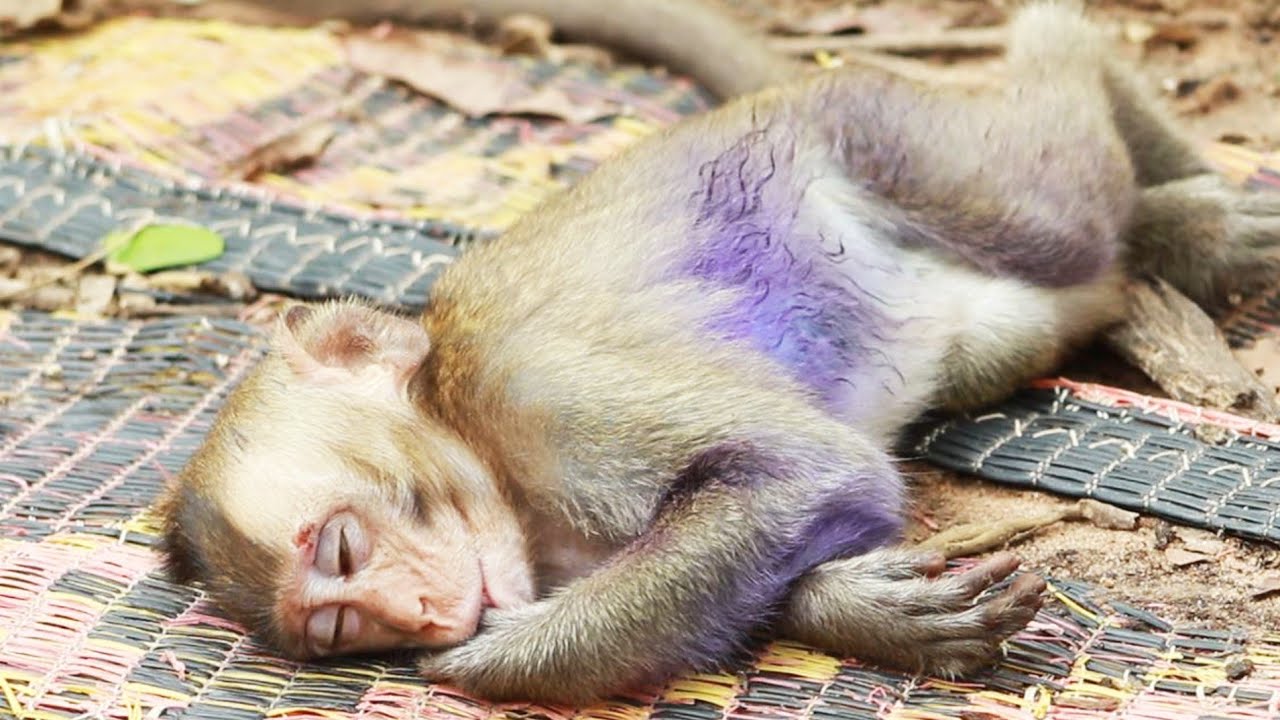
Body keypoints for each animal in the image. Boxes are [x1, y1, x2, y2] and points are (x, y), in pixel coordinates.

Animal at [155, 0, 1280, 704]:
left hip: (905, 140)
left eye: (342, 551)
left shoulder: (542, 394)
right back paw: (1170, 234)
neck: (475, 437)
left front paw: (489, 663)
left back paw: (1147, 162)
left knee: (1061, 169)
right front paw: (864, 610)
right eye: (340, 630)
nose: (420, 614)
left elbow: (799, 470)